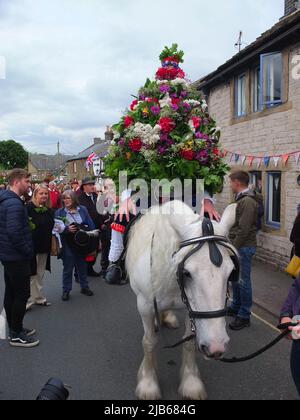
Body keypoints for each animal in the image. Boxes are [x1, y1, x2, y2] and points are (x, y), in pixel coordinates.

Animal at [126, 201, 237, 400]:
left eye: (232, 272)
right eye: (186, 272)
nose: (216, 347)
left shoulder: (190, 309)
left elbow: (189, 342)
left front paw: (190, 382)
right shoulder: (145, 305)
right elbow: (148, 342)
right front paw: (148, 383)